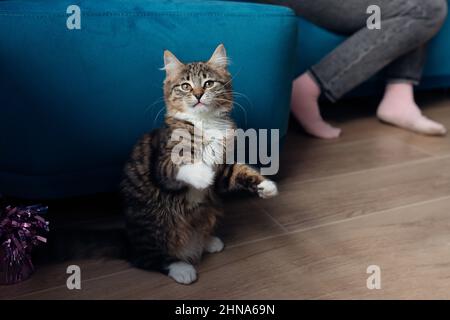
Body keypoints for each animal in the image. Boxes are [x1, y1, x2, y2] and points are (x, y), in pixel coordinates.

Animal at [123, 43, 278, 284]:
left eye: (208, 83)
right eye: (185, 86)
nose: (197, 95)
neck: (205, 123)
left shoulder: (224, 166)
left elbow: (240, 171)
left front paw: (265, 186)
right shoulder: (162, 164)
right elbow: (179, 167)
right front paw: (202, 174)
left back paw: (208, 242)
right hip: (155, 226)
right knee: (146, 258)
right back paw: (181, 268)